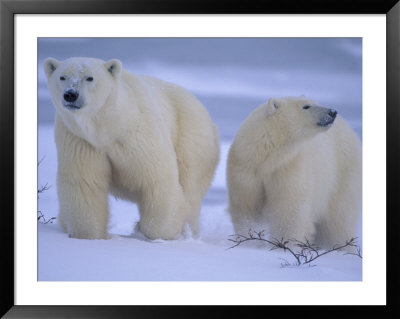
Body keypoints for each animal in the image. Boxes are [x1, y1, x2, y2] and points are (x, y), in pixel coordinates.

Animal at [44, 57, 220, 241]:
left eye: (89, 78)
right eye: (62, 77)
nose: (71, 94)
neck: (108, 127)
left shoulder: (138, 135)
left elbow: (157, 179)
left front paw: (155, 232)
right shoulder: (80, 140)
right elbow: (85, 183)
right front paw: (88, 235)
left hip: (191, 139)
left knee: (190, 187)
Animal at [228, 96, 362, 249]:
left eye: (314, 103)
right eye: (306, 106)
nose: (333, 112)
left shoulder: (289, 167)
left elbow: (289, 211)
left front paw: (284, 245)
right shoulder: (247, 171)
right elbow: (247, 208)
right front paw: (249, 243)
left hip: (342, 174)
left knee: (340, 219)